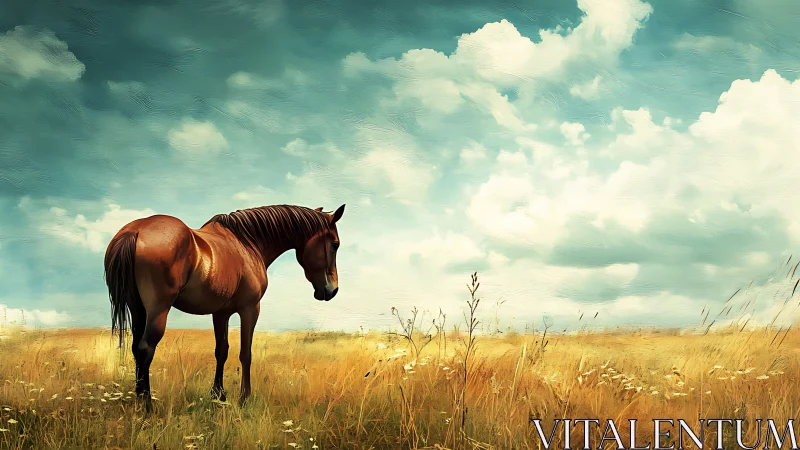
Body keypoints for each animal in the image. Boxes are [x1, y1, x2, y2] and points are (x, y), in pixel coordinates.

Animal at [103, 204, 345, 412]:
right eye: (335, 244)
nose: (332, 290)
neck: (247, 243)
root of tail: (135, 231)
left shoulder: (221, 313)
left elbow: (222, 351)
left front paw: (218, 395)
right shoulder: (250, 309)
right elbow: (245, 353)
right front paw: (244, 398)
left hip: (137, 309)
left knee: (136, 348)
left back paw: (138, 399)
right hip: (158, 310)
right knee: (146, 349)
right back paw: (147, 406)